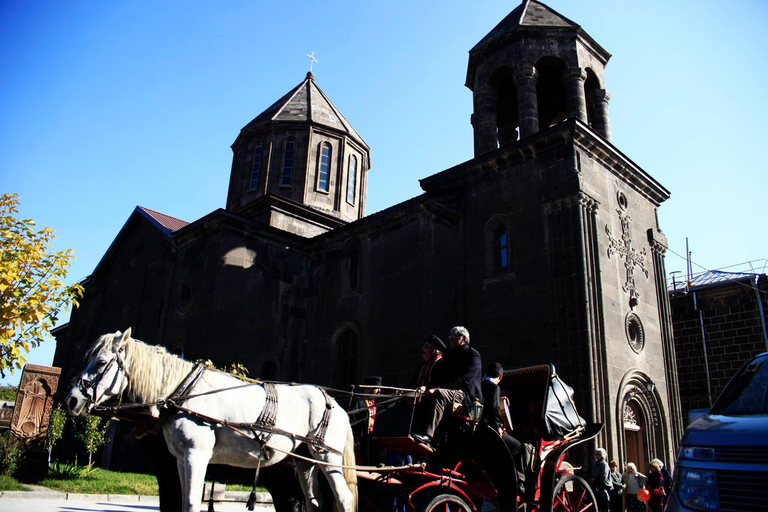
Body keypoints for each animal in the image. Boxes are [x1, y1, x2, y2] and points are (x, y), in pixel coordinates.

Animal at [64, 328, 358, 512]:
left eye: (101, 362)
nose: (72, 400)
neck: (180, 392)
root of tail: (334, 402)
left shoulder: (195, 455)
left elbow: (190, 503)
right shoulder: (179, 459)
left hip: (328, 456)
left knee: (343, 499)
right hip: (304, 460)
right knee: (313, 502)